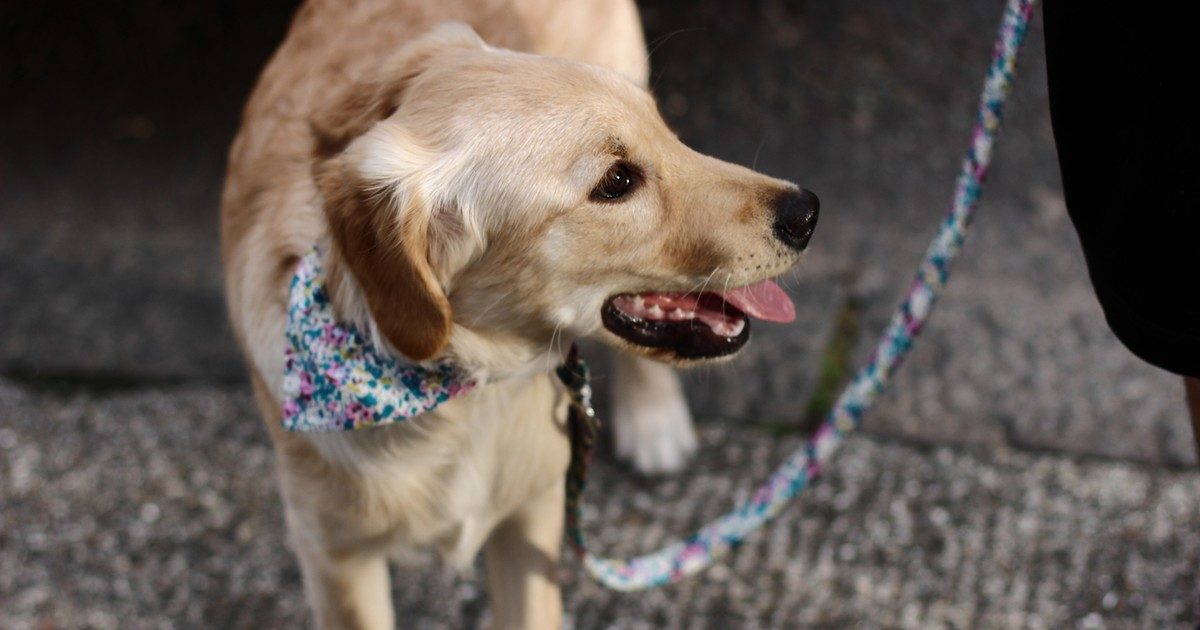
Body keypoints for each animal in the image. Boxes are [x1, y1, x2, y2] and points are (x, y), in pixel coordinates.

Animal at [218, 0, 816, 624]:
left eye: (666, 132)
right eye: (617, 180)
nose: (807, 212)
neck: (454, 398)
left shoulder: (534, 515)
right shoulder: (334, 558)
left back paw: (654, 419)